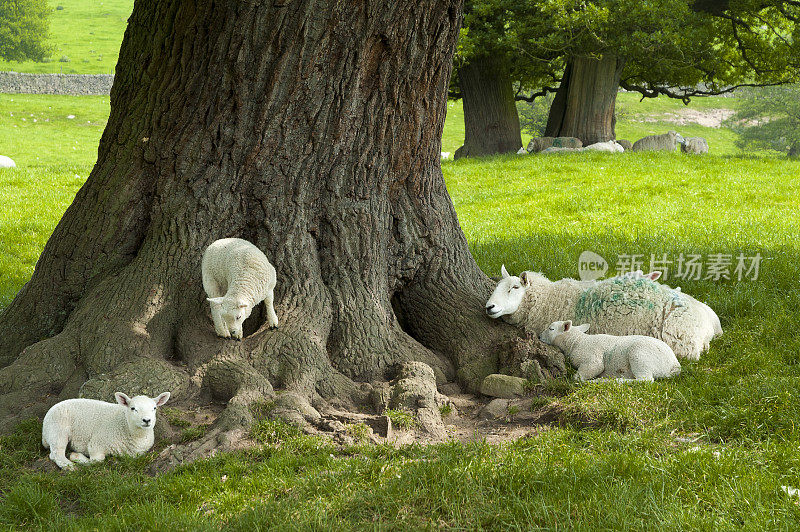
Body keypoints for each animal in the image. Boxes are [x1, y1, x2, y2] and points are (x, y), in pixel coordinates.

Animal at [42, 390, 170, 470]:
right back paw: (71, 467)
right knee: (57, 454)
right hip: (58, 430)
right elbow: (97, 461)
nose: (147, 420)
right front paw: (76, 456)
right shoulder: (96, 444)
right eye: (133, 408)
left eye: (154, 408)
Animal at [536, 320, 680, 382]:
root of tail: (675, 364)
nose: (539, 336)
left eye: (551, 329)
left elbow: (579, 376)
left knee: (645, 380)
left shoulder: (592, 359)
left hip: (640, 356)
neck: (577, 342)